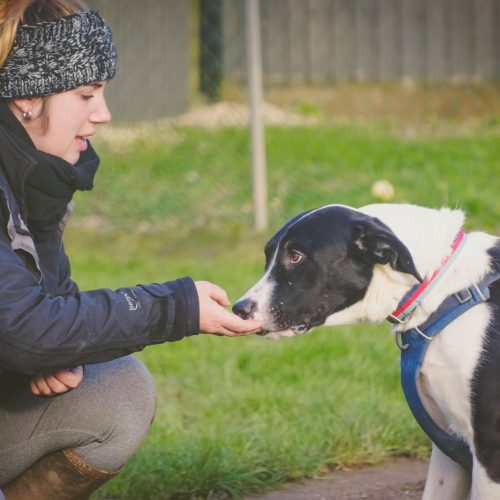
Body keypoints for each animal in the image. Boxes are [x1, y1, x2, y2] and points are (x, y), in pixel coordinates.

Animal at [233, 204, 500, 500]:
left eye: (295, 256)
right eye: (268, 256)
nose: (239, 309)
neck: (442, 289)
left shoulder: (489, 452)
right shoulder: (448, 445)